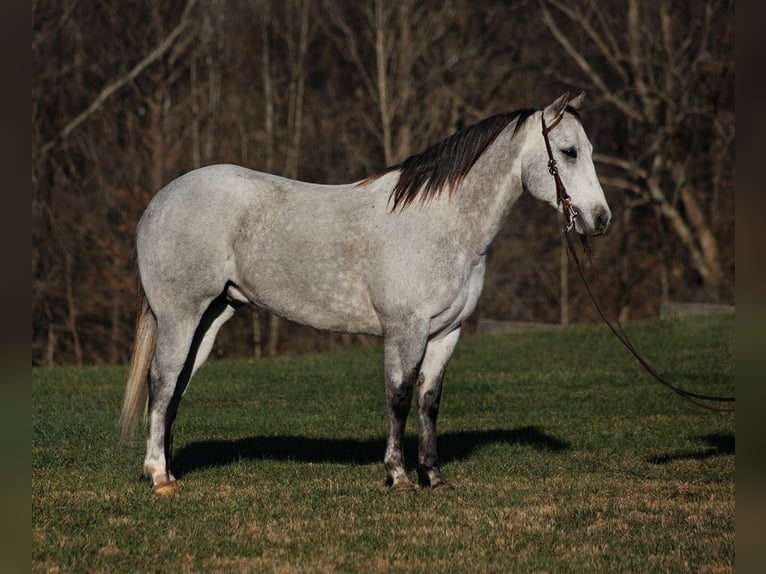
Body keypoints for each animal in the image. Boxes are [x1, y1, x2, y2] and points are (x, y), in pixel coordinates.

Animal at [120, 93, 612, 496]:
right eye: (568, 152)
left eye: (588, 151)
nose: (600, 219)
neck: (442, 223)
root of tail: (159, 202)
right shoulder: (405, 330)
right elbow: (399, 397)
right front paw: (398, 476)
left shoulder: (445, 333)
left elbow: (429, 402)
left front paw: (434, 476)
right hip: (181, 316)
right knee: (161, 382)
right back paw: (159, 477)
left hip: (211, 318)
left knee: (175, 389)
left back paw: (169, 470)